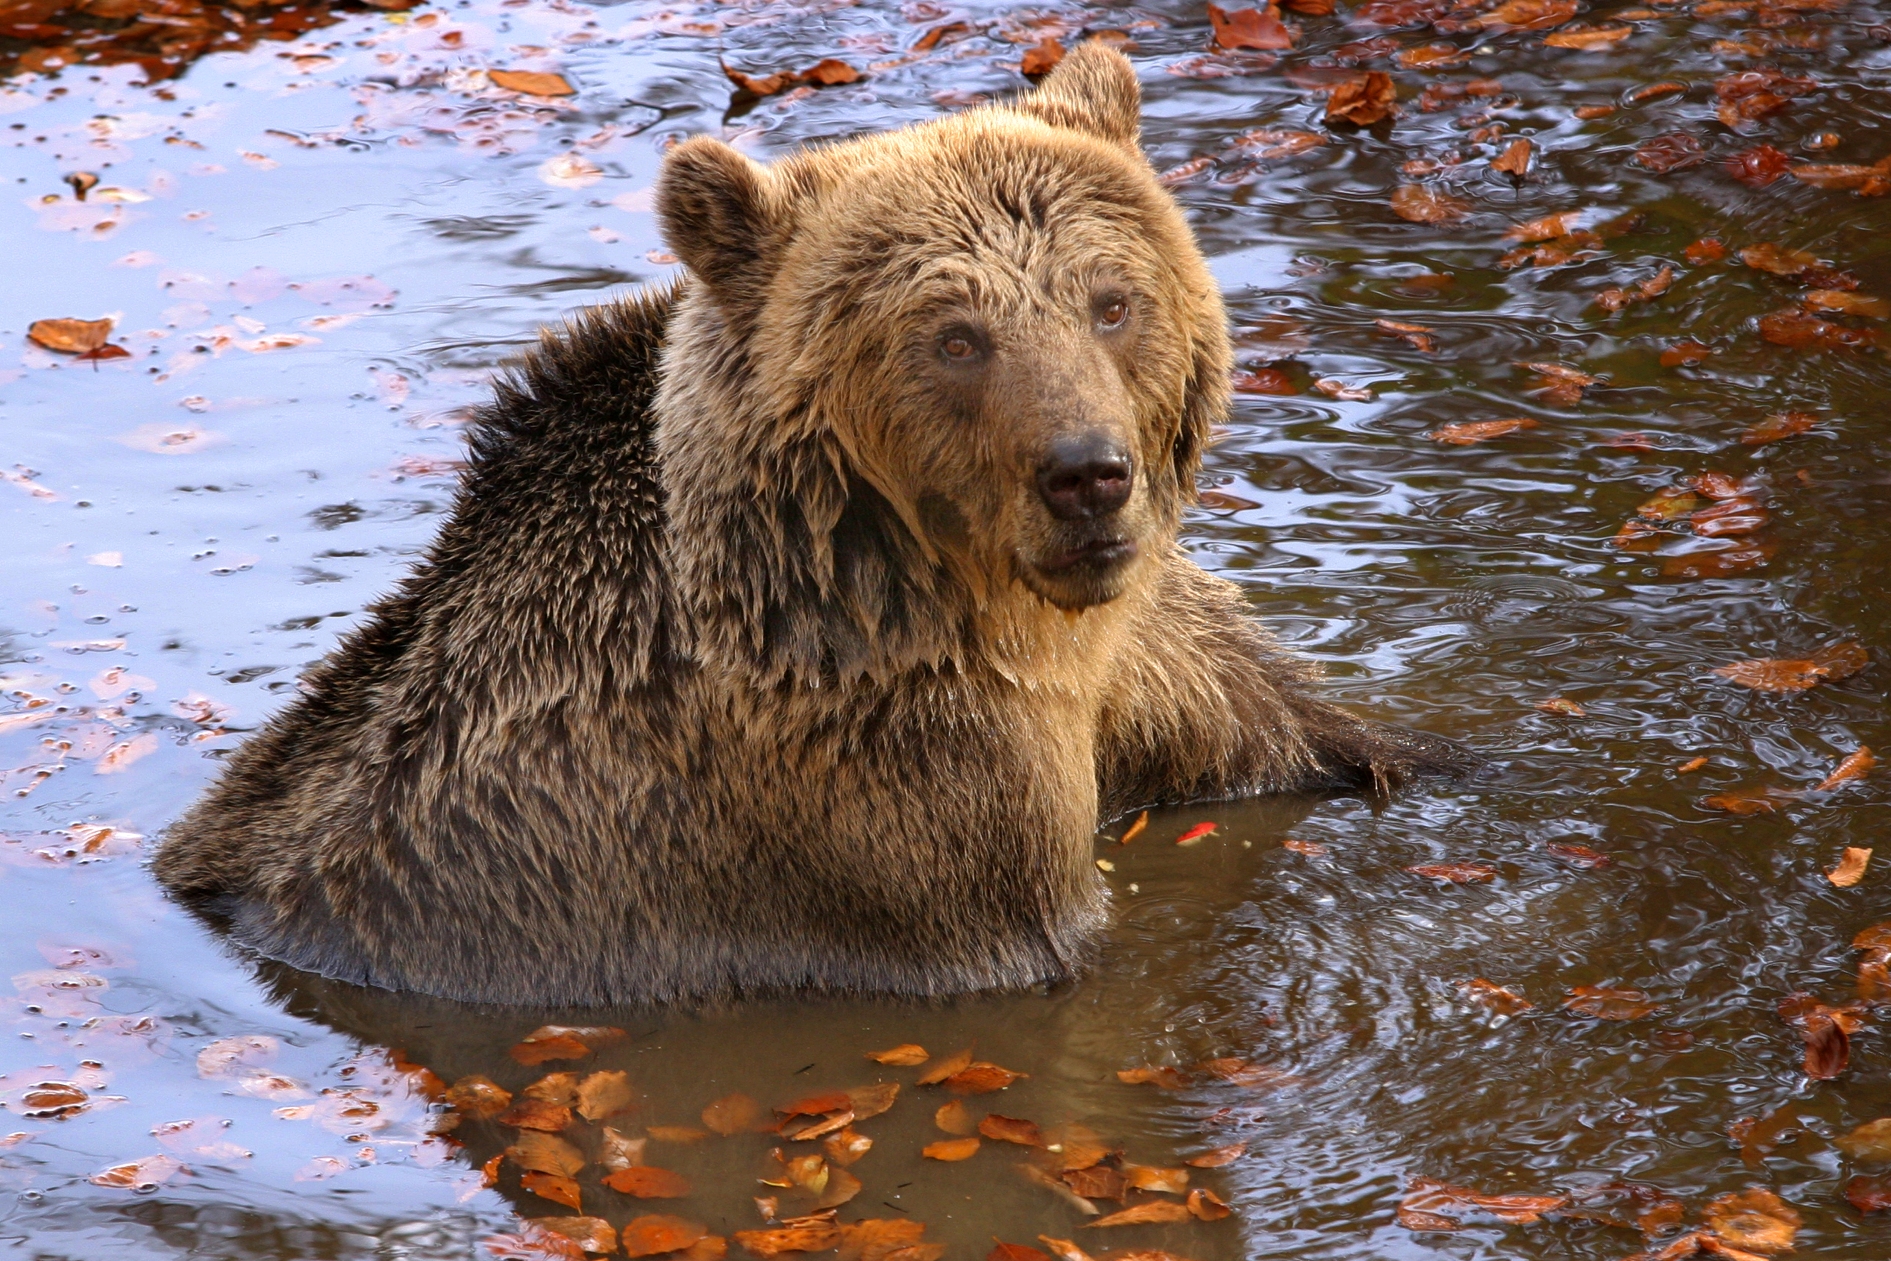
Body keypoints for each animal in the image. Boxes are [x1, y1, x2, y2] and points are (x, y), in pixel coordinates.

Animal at [155, 41, 1467, 1005]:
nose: (1087, 474)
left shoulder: (1156, 652)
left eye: (1109, 302)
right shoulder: (906, 803)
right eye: (955, 337)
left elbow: (1325, 733)